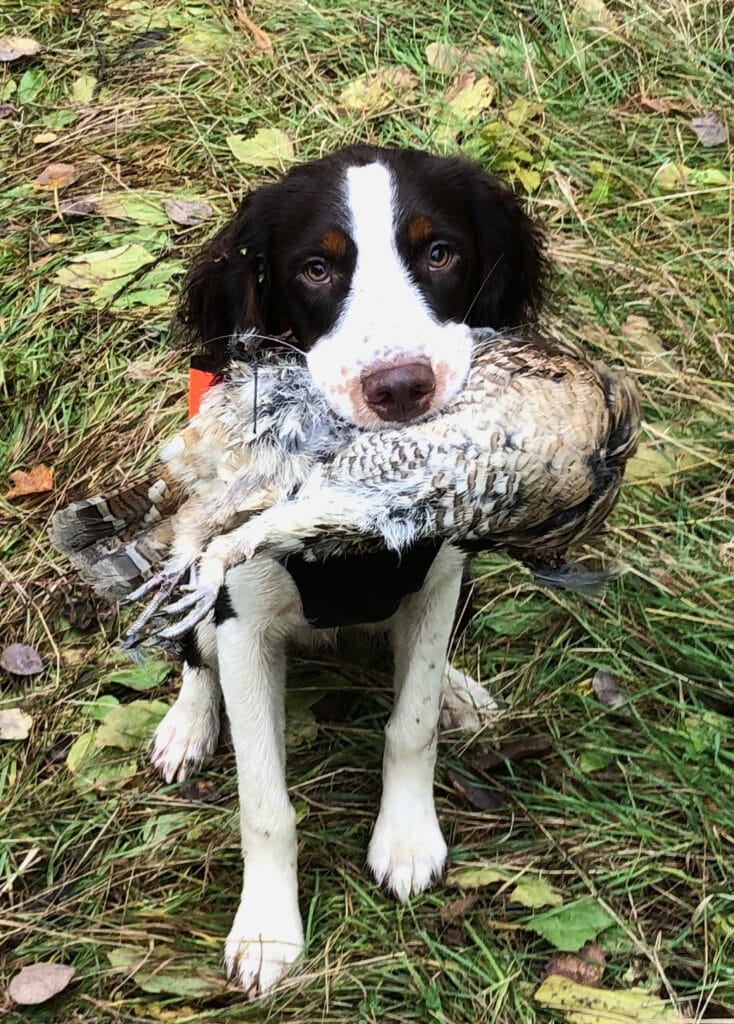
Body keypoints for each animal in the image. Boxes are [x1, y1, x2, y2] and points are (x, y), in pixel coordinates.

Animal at [154, 148, 544, 995]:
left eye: (441, 253)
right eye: (315, 269)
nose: (399, 388)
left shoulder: (438, 576)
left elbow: (412, 723)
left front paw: (407, 838)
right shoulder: (242, 618)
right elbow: (263, 801)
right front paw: (268, 932)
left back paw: (460, 690)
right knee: (192, 654)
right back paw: (188, 724)